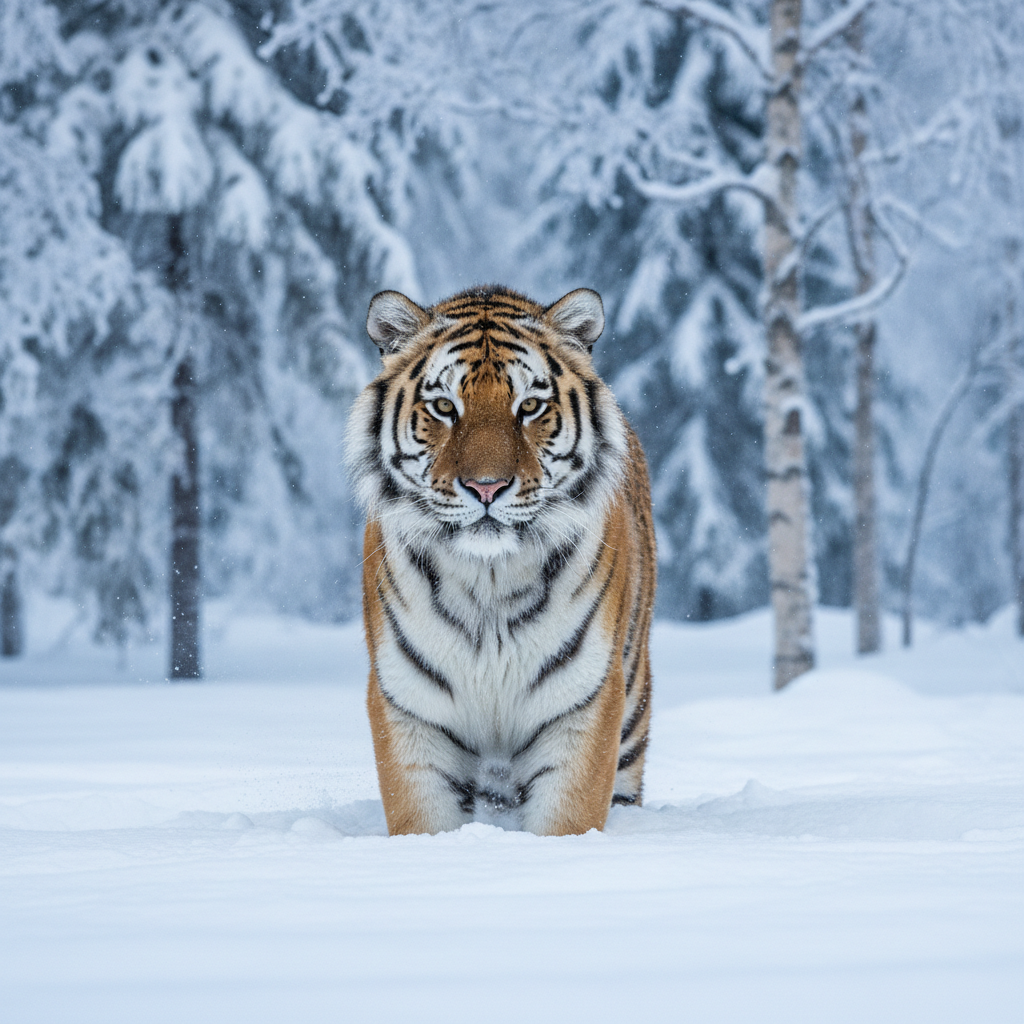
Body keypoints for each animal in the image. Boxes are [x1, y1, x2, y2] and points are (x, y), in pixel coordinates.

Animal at [345, 284, 656, 836]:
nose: (486, 487)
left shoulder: (583, 704)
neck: (488, 580)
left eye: (529, 405)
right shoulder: (409, 708)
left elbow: (568, 818)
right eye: (443, 407)